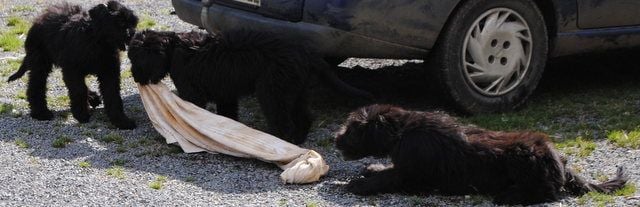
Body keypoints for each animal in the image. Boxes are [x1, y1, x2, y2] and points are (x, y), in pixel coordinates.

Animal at [7, 0, 139, 129]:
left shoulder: (109, 72)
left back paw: (92, 98)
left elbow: (113, 94)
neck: (96, 42)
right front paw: (81, 114)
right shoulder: (72, 70)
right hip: (40, 63)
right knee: (35, 86)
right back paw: (41, 113)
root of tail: (38, 20)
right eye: (121, 22)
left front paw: (121, 121)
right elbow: (79, 90)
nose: (133, 34)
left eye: (133, 23)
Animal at [127, 29, 372, 144]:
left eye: (135, 58)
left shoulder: (192, 92)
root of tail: (308, 53)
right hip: (295, 90)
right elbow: (226, 115)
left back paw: (282, 141)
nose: (135, 78)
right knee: (305, 117)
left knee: (284, 121)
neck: (174, 49)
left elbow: (190, 116)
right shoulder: (225, 94)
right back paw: (298, 140)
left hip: (273, 91)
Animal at [338, 104, 628, 205]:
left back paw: (510, 196)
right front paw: (371, 168)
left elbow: (388, 178)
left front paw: (360, 183)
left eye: (352, 128)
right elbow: (387, 170)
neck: (401, 131)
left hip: (523, 156)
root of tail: (559, 161)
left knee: (548, 191)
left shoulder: (413, 175)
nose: (336, 139)